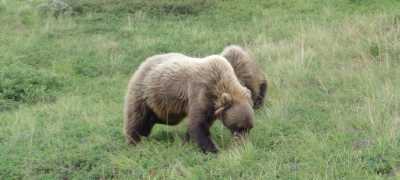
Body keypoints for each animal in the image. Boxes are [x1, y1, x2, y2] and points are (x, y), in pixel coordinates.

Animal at [123, 53, 253, 153]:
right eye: (239, 127)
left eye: (249, 128)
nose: (242, 143)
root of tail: (143, 63)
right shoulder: (200, 92)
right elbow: (198, 125)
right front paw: (213, 150)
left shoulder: (211, 107)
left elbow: (201, 124)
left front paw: (187, 141)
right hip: (145, 92)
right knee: (137, 119)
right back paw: (134, 141)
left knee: (158, 118)